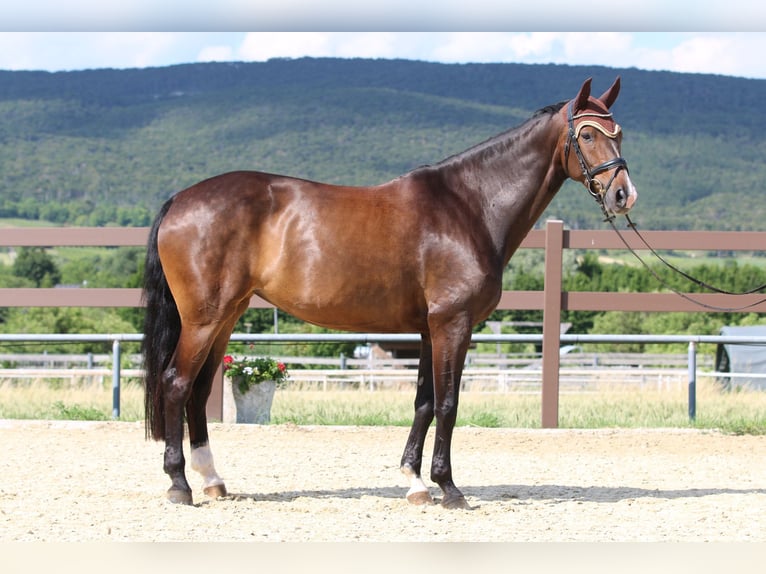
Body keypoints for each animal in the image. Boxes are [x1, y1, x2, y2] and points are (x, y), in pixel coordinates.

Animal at [141, 77, 637, 509]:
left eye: (620, 133)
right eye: (588, 134)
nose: (623, 195)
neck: (469, 206)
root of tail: (180, 199)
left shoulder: (427, 330)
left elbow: (424, 403)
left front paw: (415, 483)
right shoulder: (453, 324)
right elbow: (449, 404)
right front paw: (449, 489)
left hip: (226, 316)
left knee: (199, 390)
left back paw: (212, 479)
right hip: (204, 318)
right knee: (176, 383)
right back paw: (180, 484)